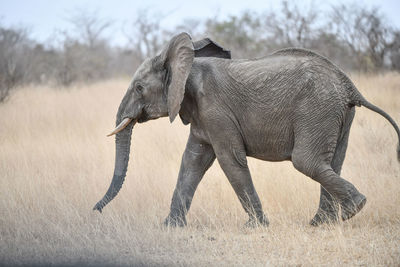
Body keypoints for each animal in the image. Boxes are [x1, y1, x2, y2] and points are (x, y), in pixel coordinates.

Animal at [94, 32, 400, 227]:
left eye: (138, 88)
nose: (95, 211)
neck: (188, 66)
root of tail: (349, 85)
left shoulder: (215, 110)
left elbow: (230, 161)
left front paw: (257, 227)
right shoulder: (203, 117)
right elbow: (192, 162)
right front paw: (169, 226)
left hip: (318, 108)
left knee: (307, 161)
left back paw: (353, 210)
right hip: (337, 113)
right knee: (332, 161)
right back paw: (321, 223)